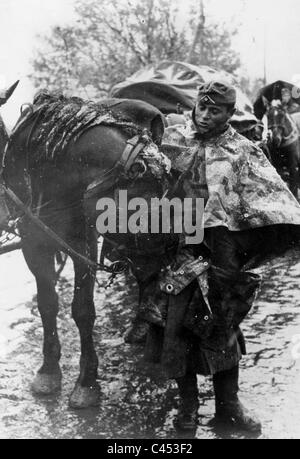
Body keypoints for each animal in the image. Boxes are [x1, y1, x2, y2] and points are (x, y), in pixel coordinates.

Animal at [1, 92, 176, 410]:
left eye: (167, 191)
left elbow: (82, 310)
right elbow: (47, 303)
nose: (170, 250)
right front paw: (49, 370)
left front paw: (86, 383)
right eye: (140, 203)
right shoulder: (33, 243)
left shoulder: (83, 243)